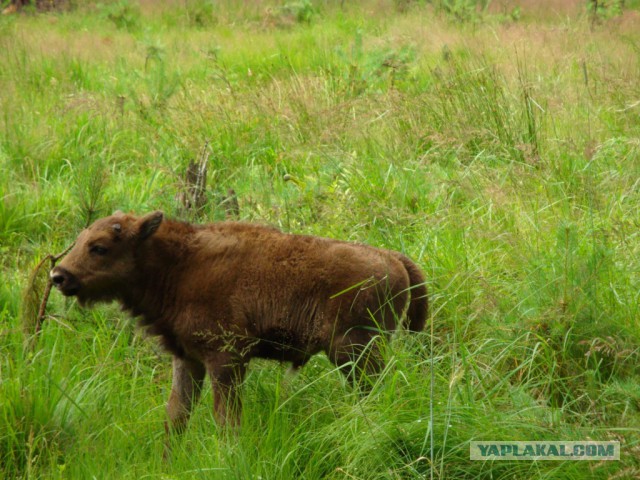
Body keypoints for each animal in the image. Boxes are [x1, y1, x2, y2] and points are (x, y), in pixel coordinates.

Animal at [51, 212, 430, 434]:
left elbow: (226, 421)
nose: (59, 275)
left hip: (355, 353)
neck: (178, 264)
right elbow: (177, 416)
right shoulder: (187, 360)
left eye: (99, 246)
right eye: (81, 240)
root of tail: (391, 257)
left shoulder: (226, 360)